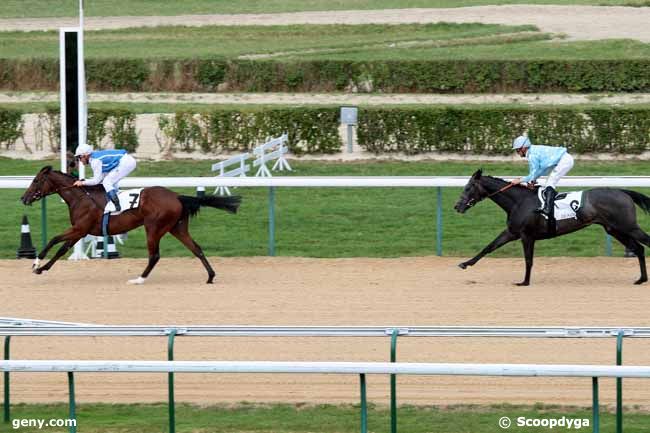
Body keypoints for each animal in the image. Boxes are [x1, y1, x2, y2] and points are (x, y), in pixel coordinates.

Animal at [22, 165, 243, 284]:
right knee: (196, 248)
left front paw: (36, 263)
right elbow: (62, 249)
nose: (24, 198)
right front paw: (42, 268)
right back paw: (210, 276)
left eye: (36, 181)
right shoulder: (80, 231)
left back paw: (139, 279)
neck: (81, 197)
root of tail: (177, 196)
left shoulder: (79, 228)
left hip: (153, 227)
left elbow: (54, 239)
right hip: (177, 228)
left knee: (154, 255)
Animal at [454, 170, 648, 286]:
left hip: (628, 226)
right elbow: (489, 247)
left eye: (469, 187)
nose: (457, 207)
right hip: (614, 229)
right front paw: (465, 263)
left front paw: (524, 282)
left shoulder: (526, 235)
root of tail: (623, 191)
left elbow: (528, 260)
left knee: (643, 243)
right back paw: (641, 279)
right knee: (638, 248)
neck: (520, 202)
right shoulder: (512, 232)